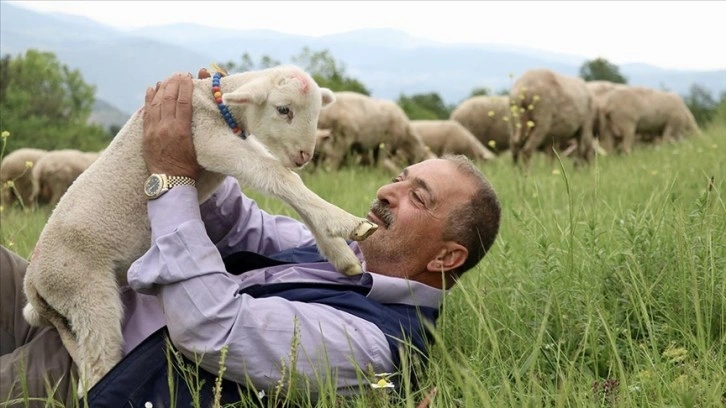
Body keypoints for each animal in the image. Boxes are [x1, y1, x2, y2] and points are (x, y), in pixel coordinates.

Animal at [21, 65, 382, 394]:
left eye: (318, 113)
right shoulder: (207, 141)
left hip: (72, 308)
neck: (217, 105)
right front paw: (347, 222)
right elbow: (280, 177)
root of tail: (33, 284)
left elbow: (288, 189)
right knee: (98, 364)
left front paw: (340, 254)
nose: (304, 155)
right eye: (283, 110)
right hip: (84, 291)